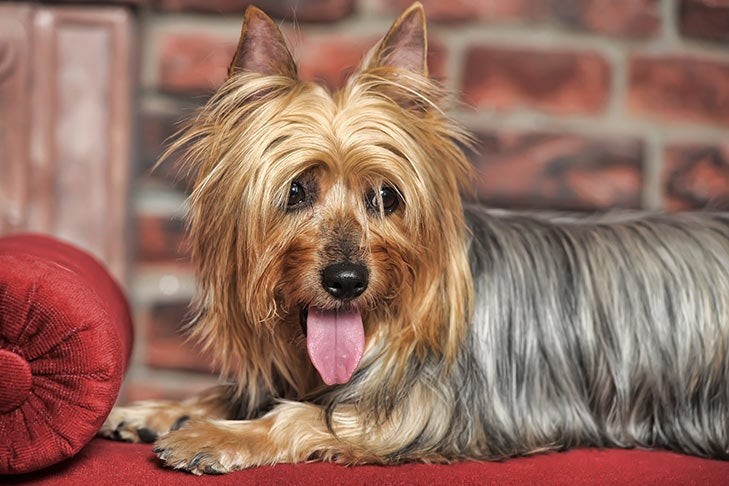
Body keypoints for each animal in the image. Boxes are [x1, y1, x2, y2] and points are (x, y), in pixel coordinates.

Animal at [99, 1, 728, 472]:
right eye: (296, 190)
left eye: (386, 197)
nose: (347, 281)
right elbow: (237, 391)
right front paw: (156, 411)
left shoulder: (425, 414)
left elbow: (309, 414)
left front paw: (216, 435)